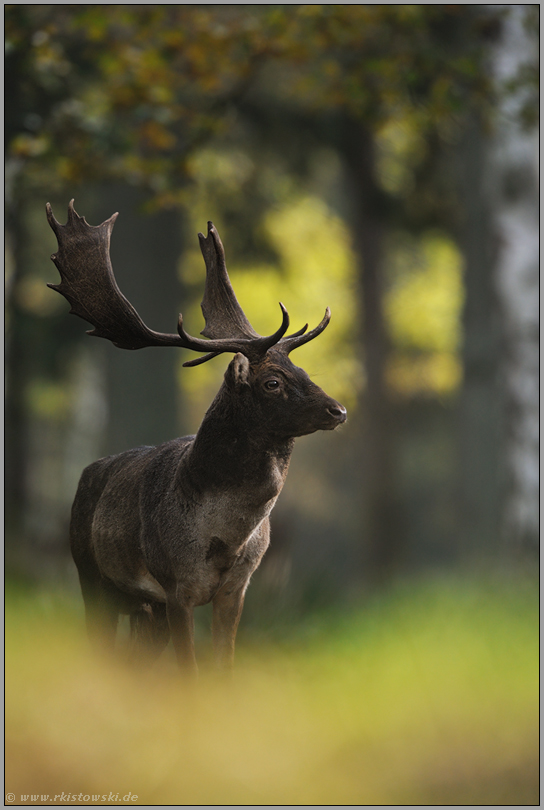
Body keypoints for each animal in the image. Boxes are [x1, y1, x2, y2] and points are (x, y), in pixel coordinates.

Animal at [45, 199, 344, 672]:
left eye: (302, 370)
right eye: (272, 382)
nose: (338, 410)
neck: (224, 540)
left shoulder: (236, 589)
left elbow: (224, 668)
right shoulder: (176, 587)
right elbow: (189, 672)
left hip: (143, 608)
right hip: (90, 576)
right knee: (102, 648)